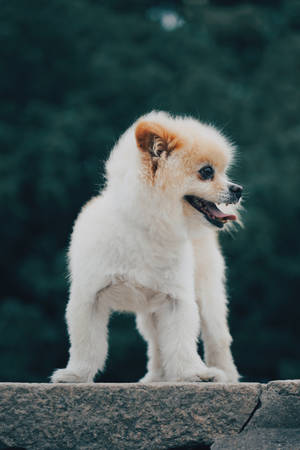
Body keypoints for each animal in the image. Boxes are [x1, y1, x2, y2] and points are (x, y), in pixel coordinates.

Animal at [51, 111, 241, 384]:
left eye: (223, 172)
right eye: (207, 172)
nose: (238, 189)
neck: (147, 228)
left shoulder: (177, 300)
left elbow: (182, 343)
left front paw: (193, 373)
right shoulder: (89, 297)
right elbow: (87, 345)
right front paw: (76, 374)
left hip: (207, 296)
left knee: (217, 338)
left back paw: (224, 374)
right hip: (151, 312)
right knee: (157, 342)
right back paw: (158, 377)